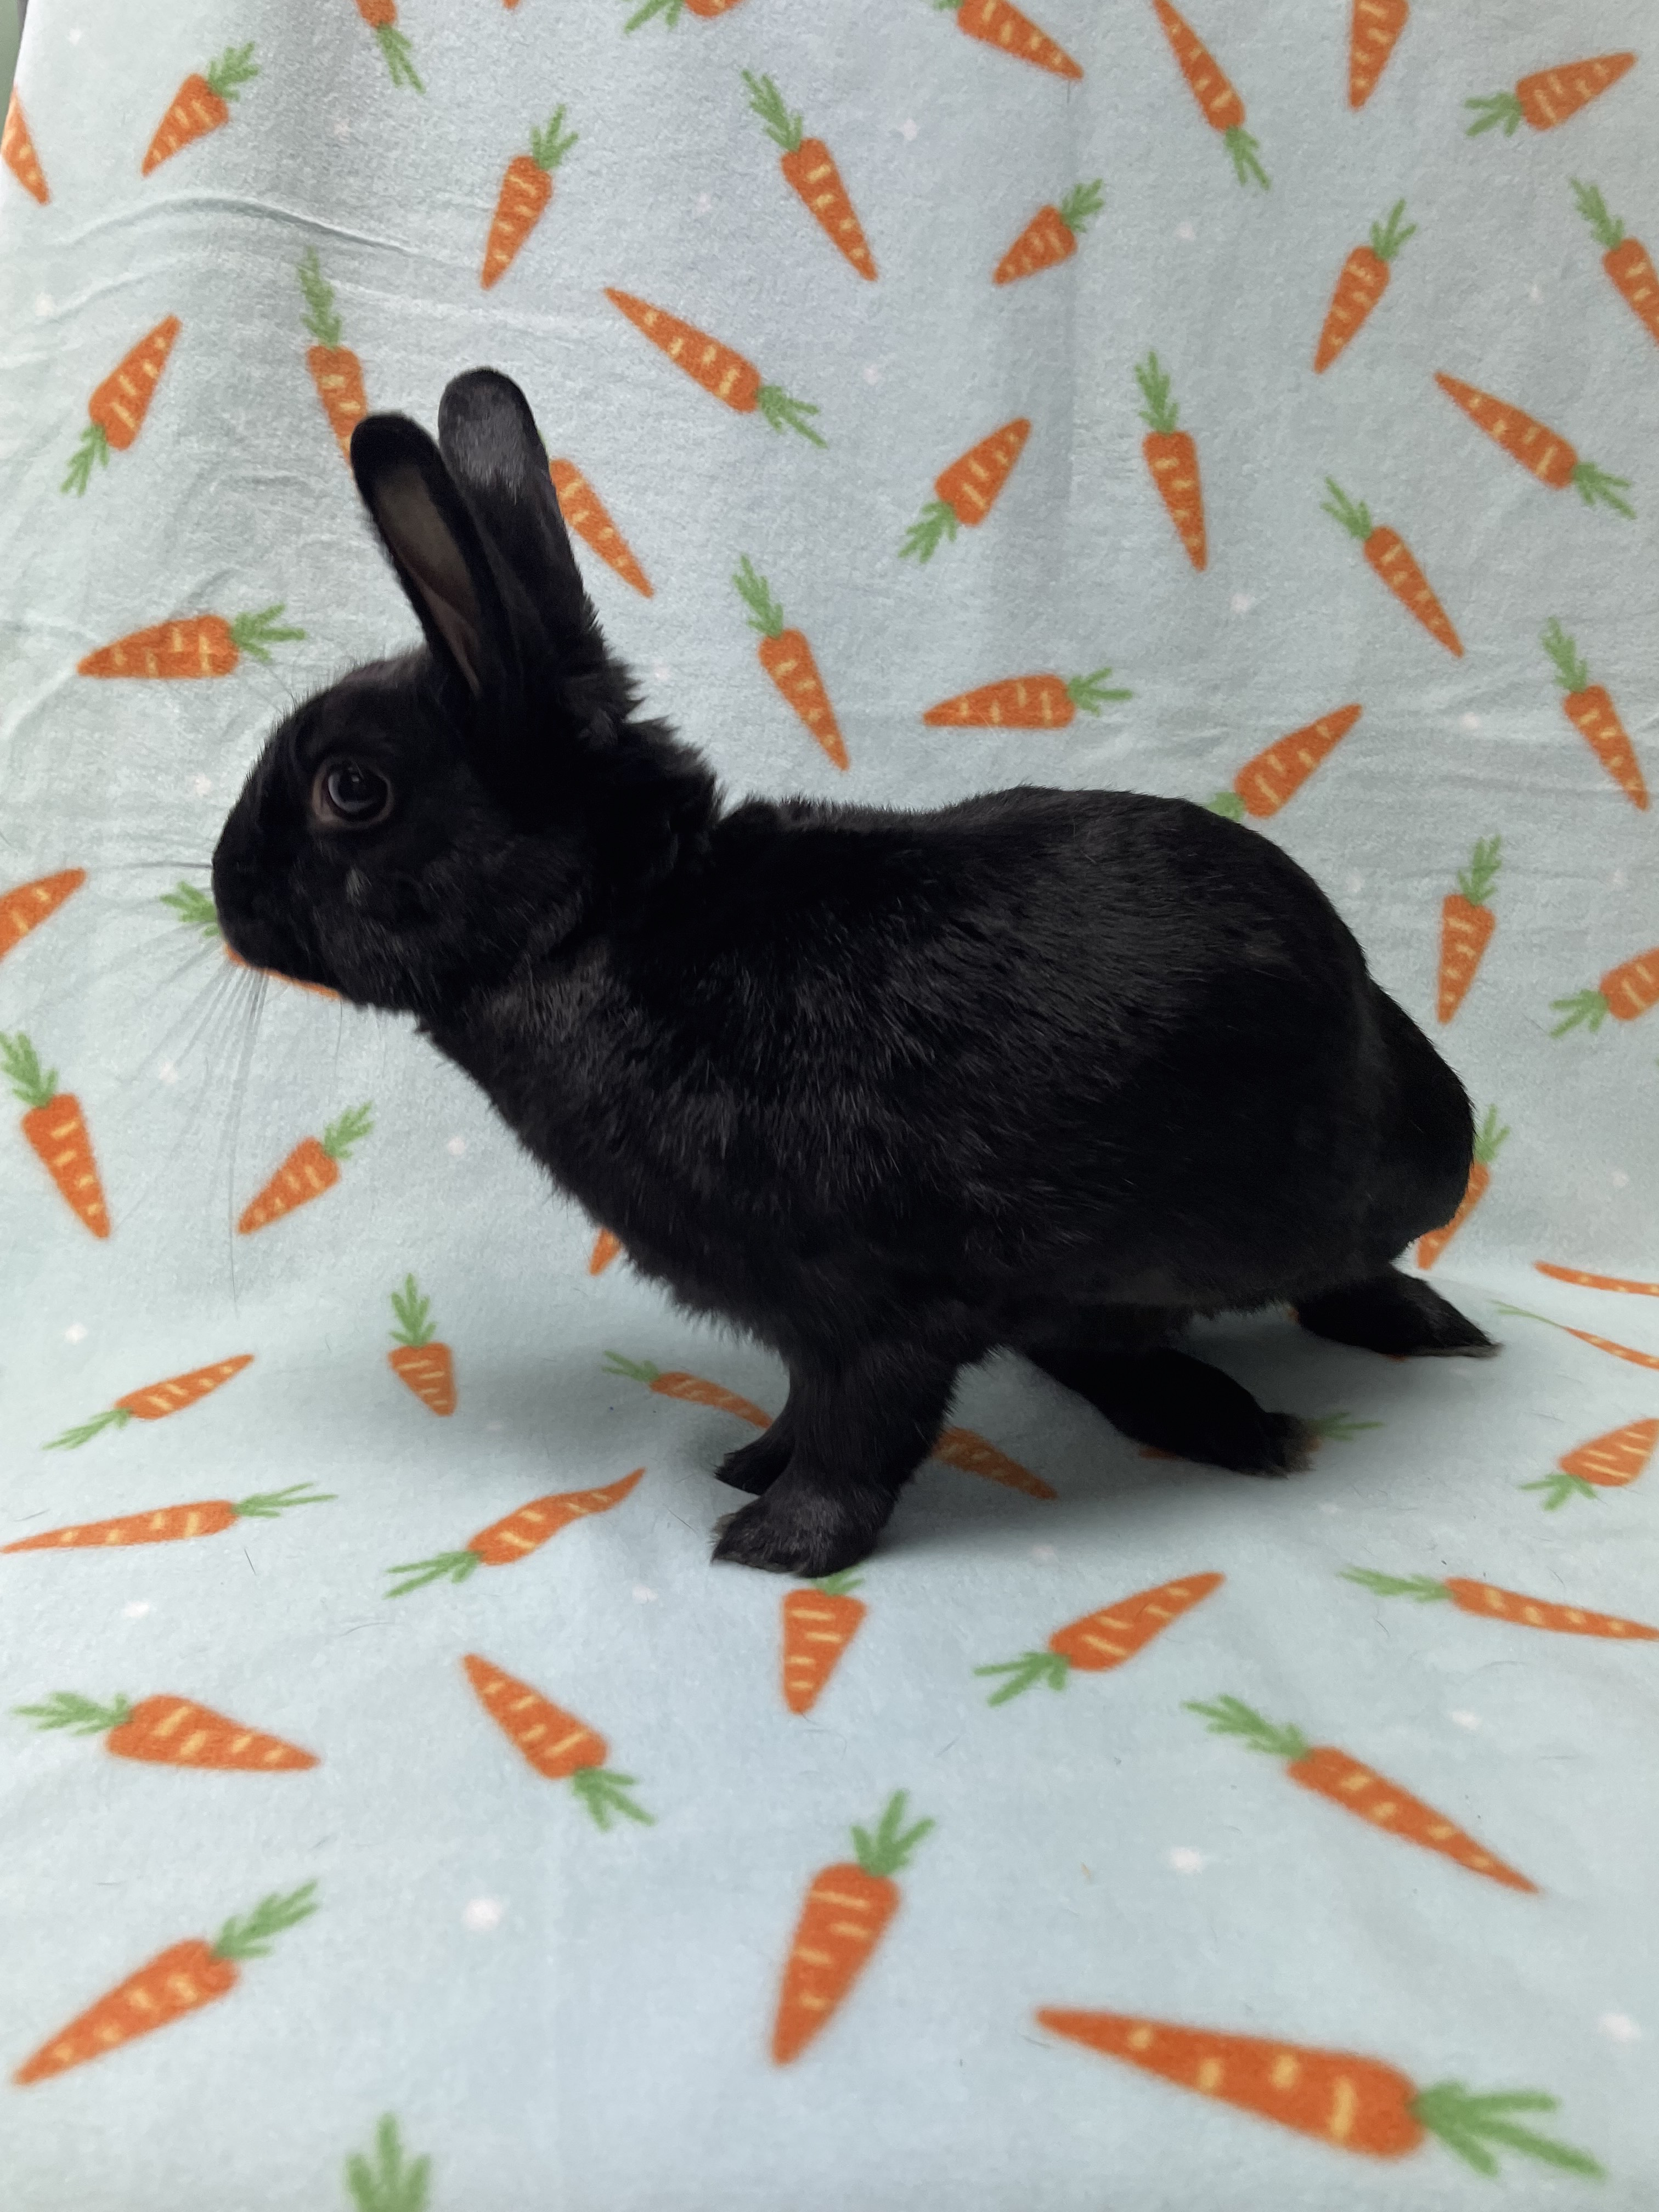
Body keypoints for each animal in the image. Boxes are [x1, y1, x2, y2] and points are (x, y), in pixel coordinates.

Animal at [213, 368, 1495, 1579]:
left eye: (351, 789)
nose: (225, 891)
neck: (614, 923)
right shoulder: (808, 1323)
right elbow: (802, 1410)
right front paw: (747, 1467)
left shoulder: (875, 1312)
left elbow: (858, 1436)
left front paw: (775, 1544)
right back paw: (1230, 1418)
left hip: (1380, 1177)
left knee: (1342, 1271)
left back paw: (1421, 1338)